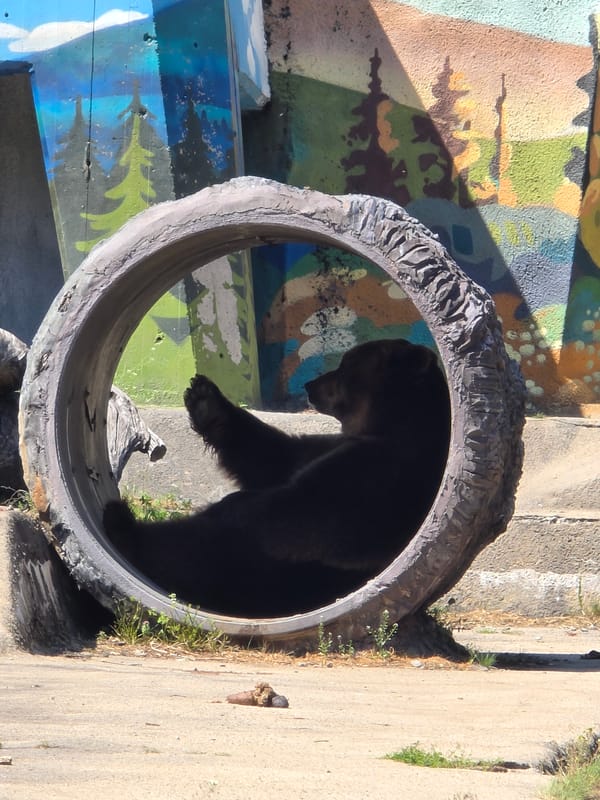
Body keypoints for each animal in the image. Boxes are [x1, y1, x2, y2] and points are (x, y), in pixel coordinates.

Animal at [103, 338, 451, 618]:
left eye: (345, 364)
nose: (311, 384)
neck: (389, 424)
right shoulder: (330, 447)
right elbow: (275, 457)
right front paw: (205, 398)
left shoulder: (381, 474)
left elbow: (305, 511)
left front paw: (229, 505)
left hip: (275, 577)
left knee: (195, 550)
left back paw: (125, 525)